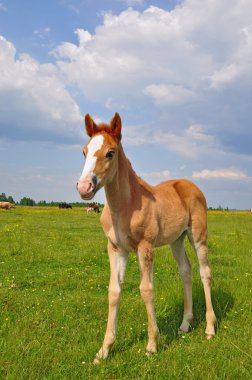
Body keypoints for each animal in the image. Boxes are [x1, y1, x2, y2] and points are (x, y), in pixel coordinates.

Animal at [76, 113, 216, 366]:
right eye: (84, 151)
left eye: (110, 152)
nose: (84, 187)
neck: (125, 205)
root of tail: (190, 184)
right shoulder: (116, 249)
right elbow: (114, 292)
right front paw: (104, 350)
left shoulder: (145, 247)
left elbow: (146, 290)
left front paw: (152, 345)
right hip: (176, 240)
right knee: (186, 271)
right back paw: (185, 324)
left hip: (198, 236)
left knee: (205, 272)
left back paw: (210, 328)